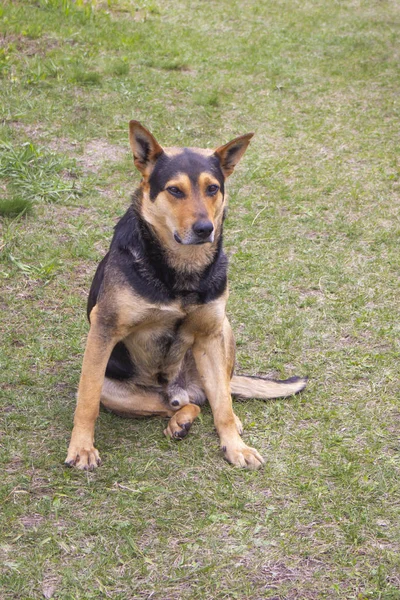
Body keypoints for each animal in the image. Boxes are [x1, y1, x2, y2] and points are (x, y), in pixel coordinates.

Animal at [65, 120, 306, 468]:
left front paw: (235, 446)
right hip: (121, 390)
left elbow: (223, 407)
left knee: (217, 396)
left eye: (212, 189)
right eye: (175, 190)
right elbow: (87, 400)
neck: (181, 270)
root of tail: (182, 389)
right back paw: (180, 420)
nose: (205, 229)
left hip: (223, 330)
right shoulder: (104, 328)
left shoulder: (209, 335)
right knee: (175, 405)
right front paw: (82, 447)